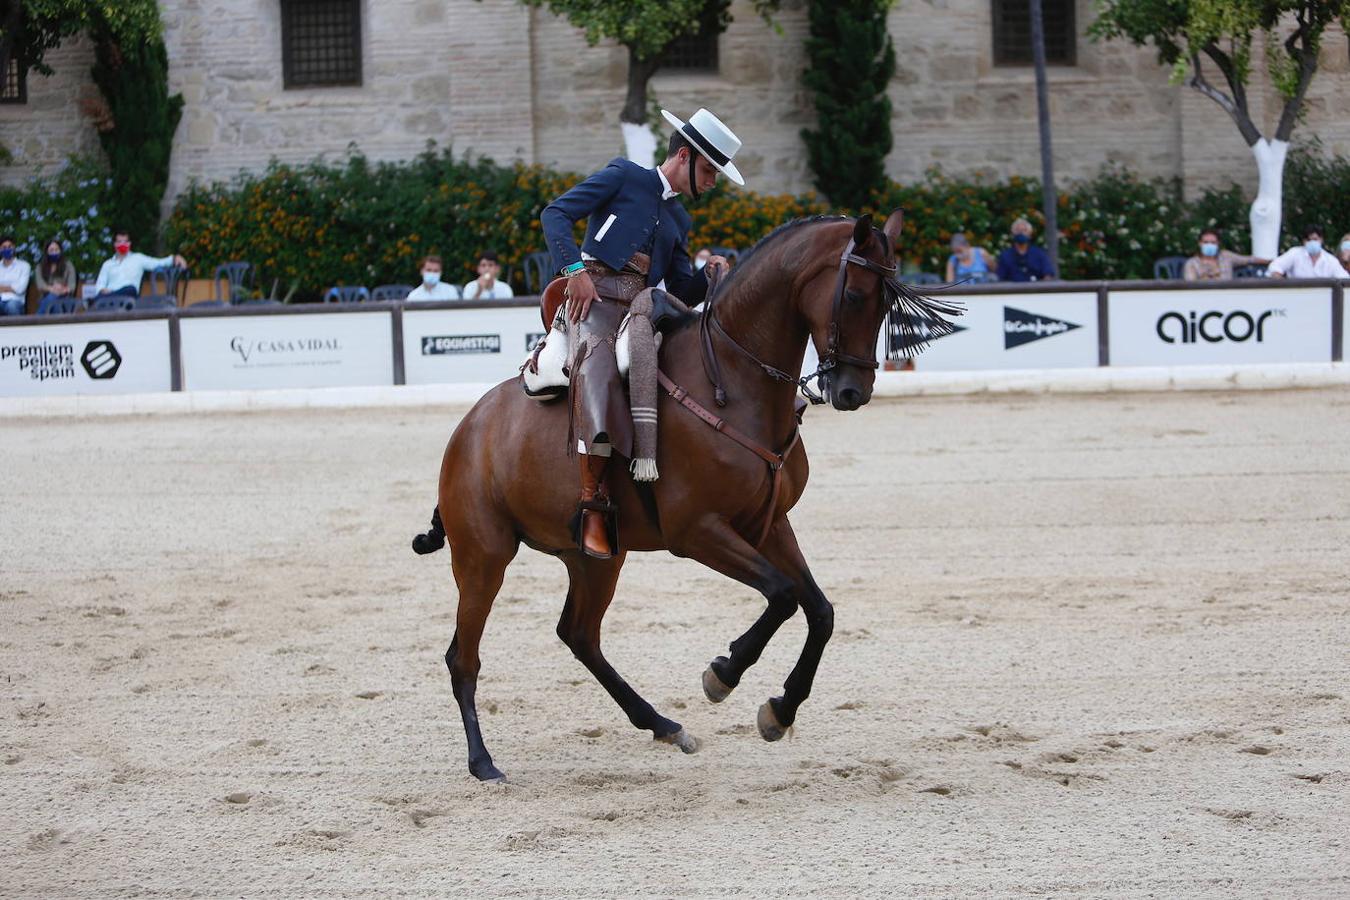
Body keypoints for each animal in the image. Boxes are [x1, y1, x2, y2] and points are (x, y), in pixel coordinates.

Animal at [410, 211, 950, 782]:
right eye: (854, 295)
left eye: (887, 304)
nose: (852, 391)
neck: (735, 382)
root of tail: (468, 429)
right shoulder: (697, 532)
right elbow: (782, 595)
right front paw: (724, 673)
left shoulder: (769, 524)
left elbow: (819, 611)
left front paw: (780, 710)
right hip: (483, 557)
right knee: (463, 657)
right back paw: (482, 761)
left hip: (596, 557)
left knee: (580, 635)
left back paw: (663, 724)